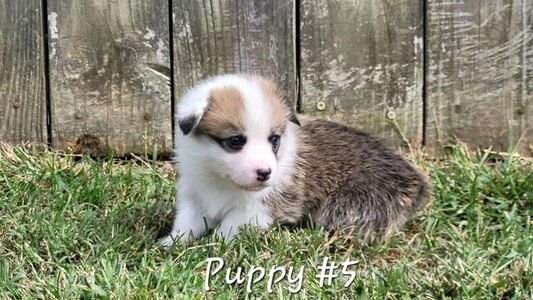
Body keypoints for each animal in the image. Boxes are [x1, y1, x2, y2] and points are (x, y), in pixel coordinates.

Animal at [160, 73, 430, 246]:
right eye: (235, 141)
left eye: (274, 139)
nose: (265, 173)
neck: (222, 180)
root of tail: (417, 183)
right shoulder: (193, 197)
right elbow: (186, 224)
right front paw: (170, 243)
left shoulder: (260, 208)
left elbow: (228, 228)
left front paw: (212, 247)